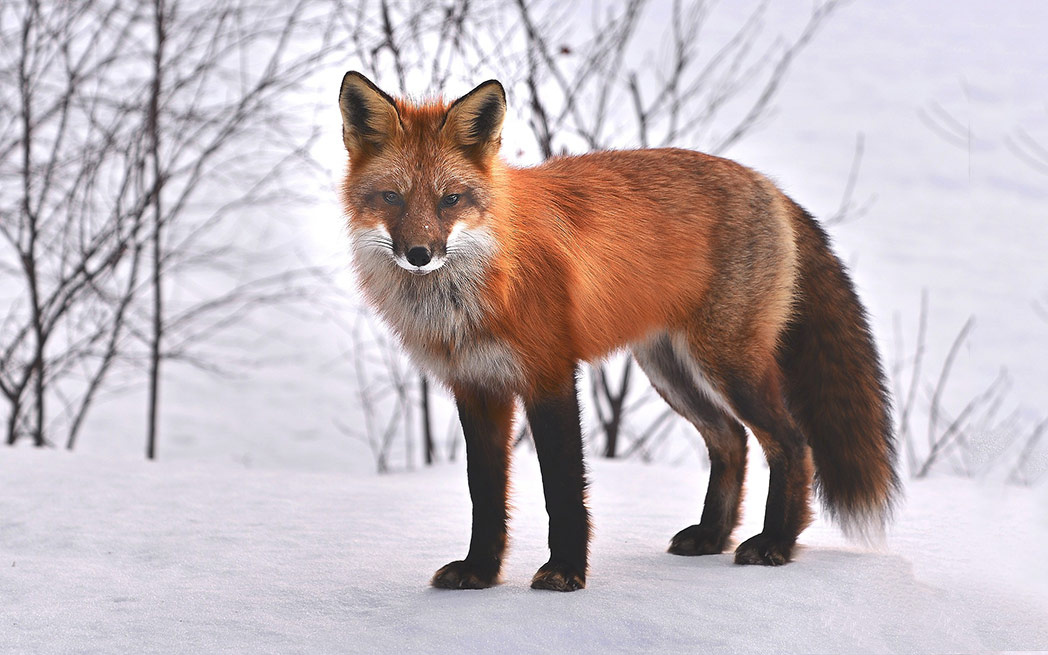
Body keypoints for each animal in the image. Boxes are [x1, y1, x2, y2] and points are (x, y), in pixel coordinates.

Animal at [338, 71, 899, 592]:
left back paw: (776, 543)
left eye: (450, 200)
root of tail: (769, 185)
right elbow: (486, 494)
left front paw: (565, 571)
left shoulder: (550, 375)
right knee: (731, 440)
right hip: (670, 370)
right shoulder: (476, 387)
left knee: (792, 443)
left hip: (728, 364)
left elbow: (563, 488)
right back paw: (712, 537)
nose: (419, 254)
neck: (478, 285)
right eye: (391, 197)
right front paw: (480, 572)